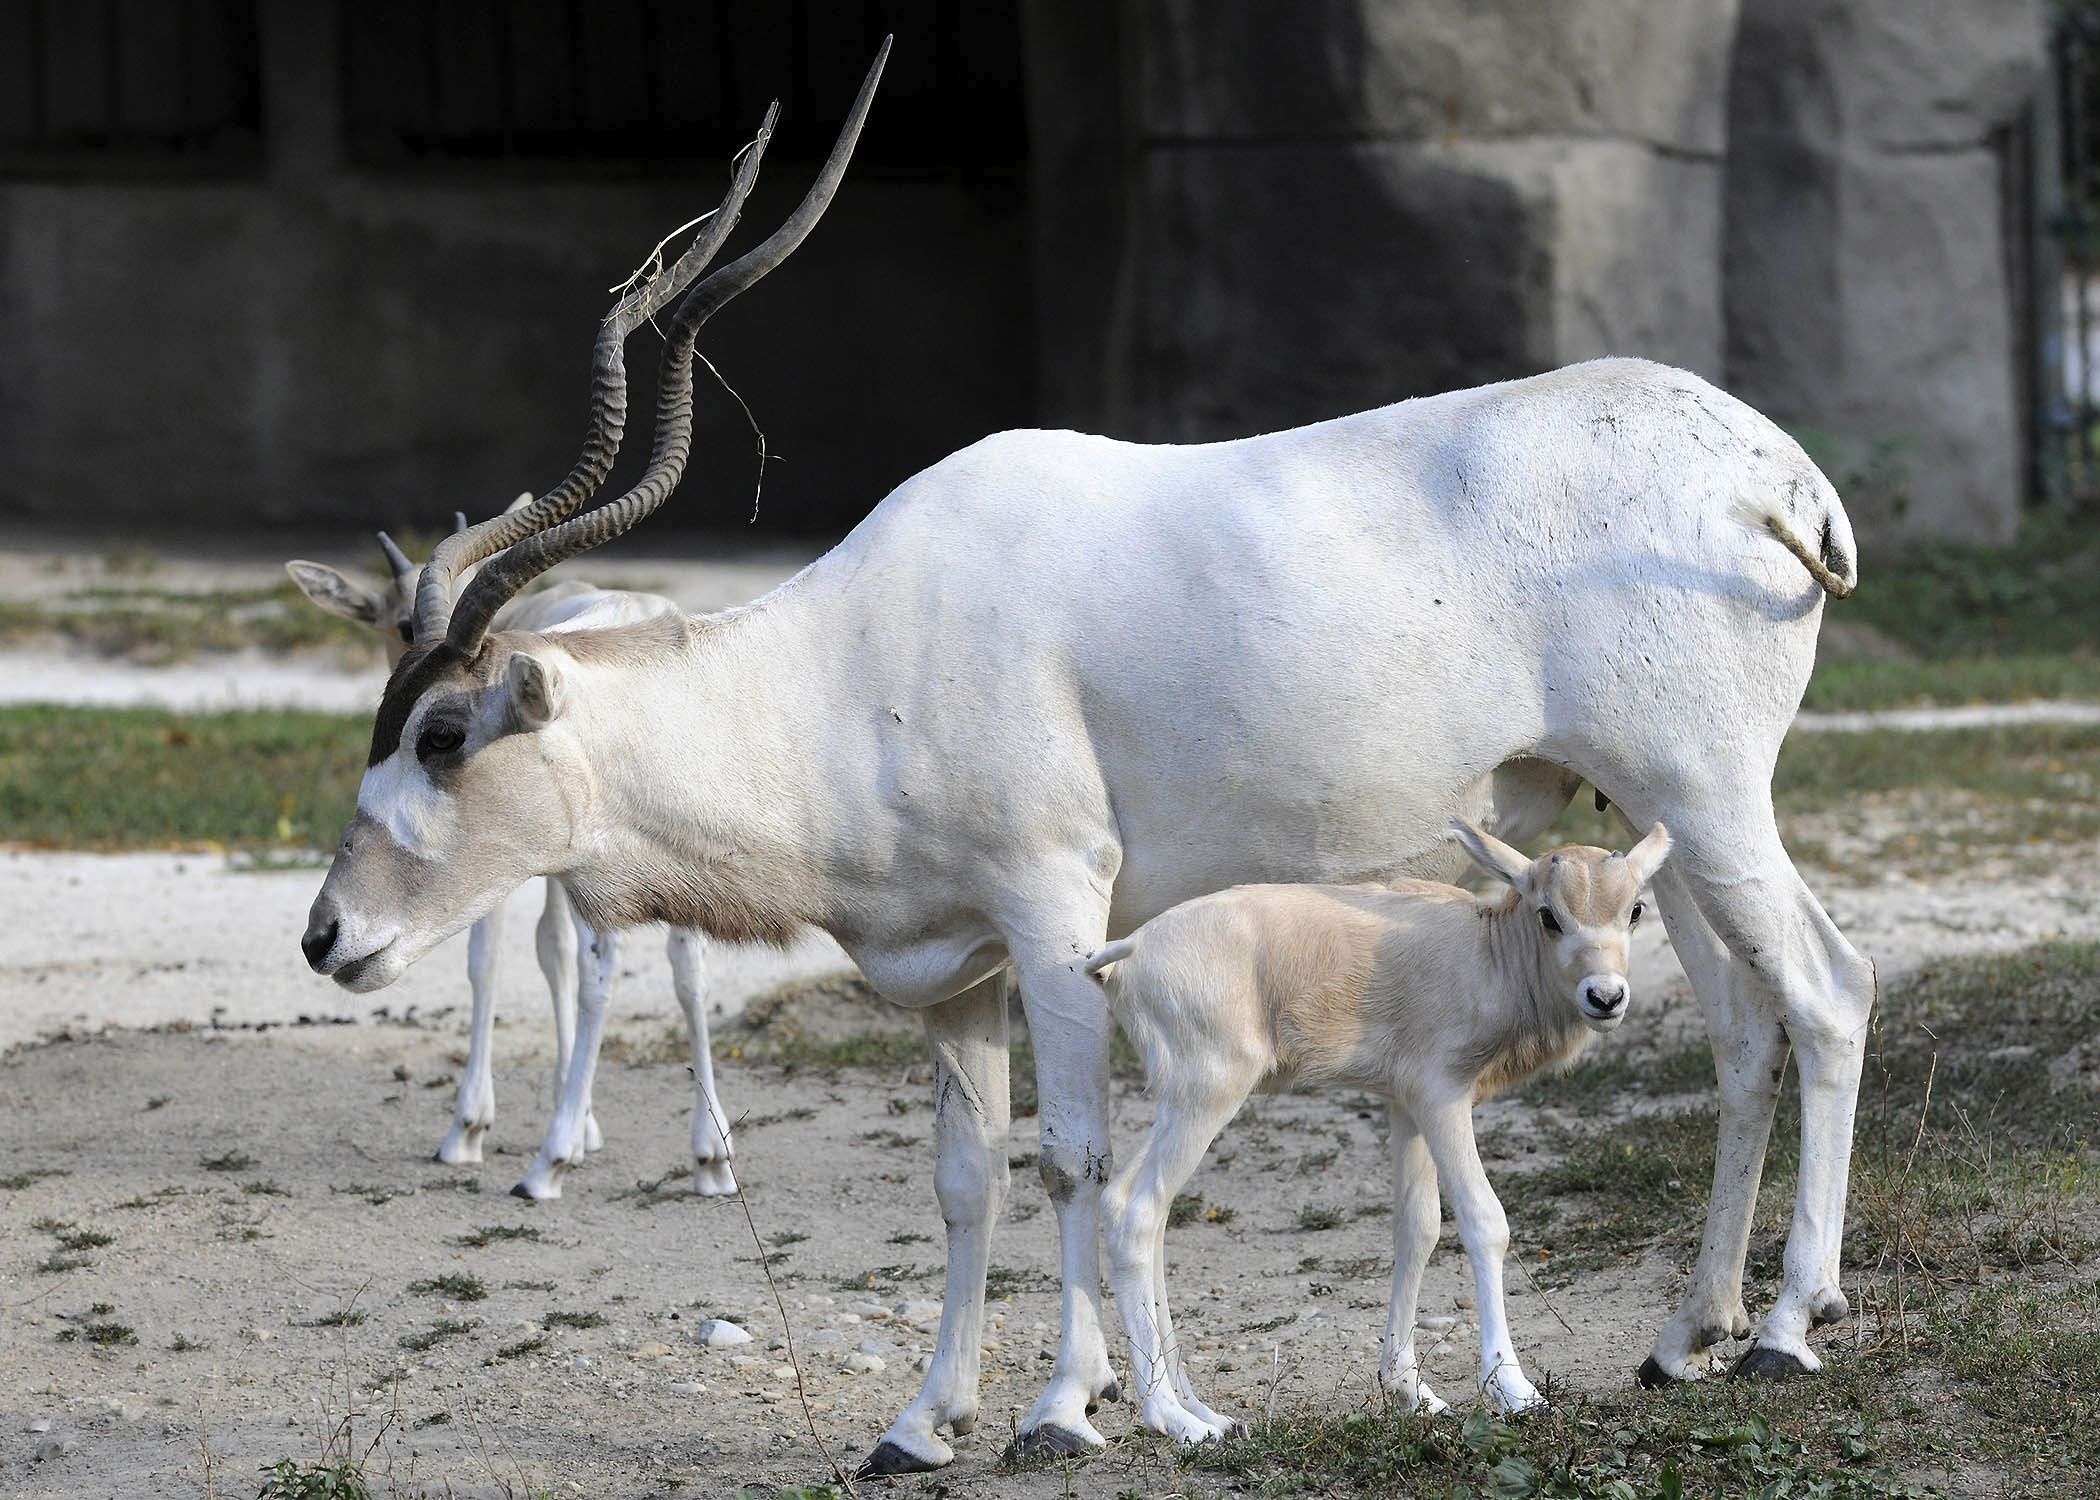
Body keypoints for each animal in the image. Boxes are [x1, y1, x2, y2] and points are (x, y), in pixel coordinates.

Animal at [1100, 819, 1671, 1436]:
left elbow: (1417, 1228)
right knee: (1136, 1210)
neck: (1485, 949)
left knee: (1141, 1212)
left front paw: (1410, 1390)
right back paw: (1173, 1420)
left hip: (1179, 1101)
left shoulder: (1406, 1107)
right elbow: (1483, 1220)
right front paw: (1514, 1390)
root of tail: (1127, 956)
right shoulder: (1442, 1096)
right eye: (1549, 914)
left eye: (1635, 908)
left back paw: (1204, 1410)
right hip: (1207, 1094)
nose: (1605, 996)